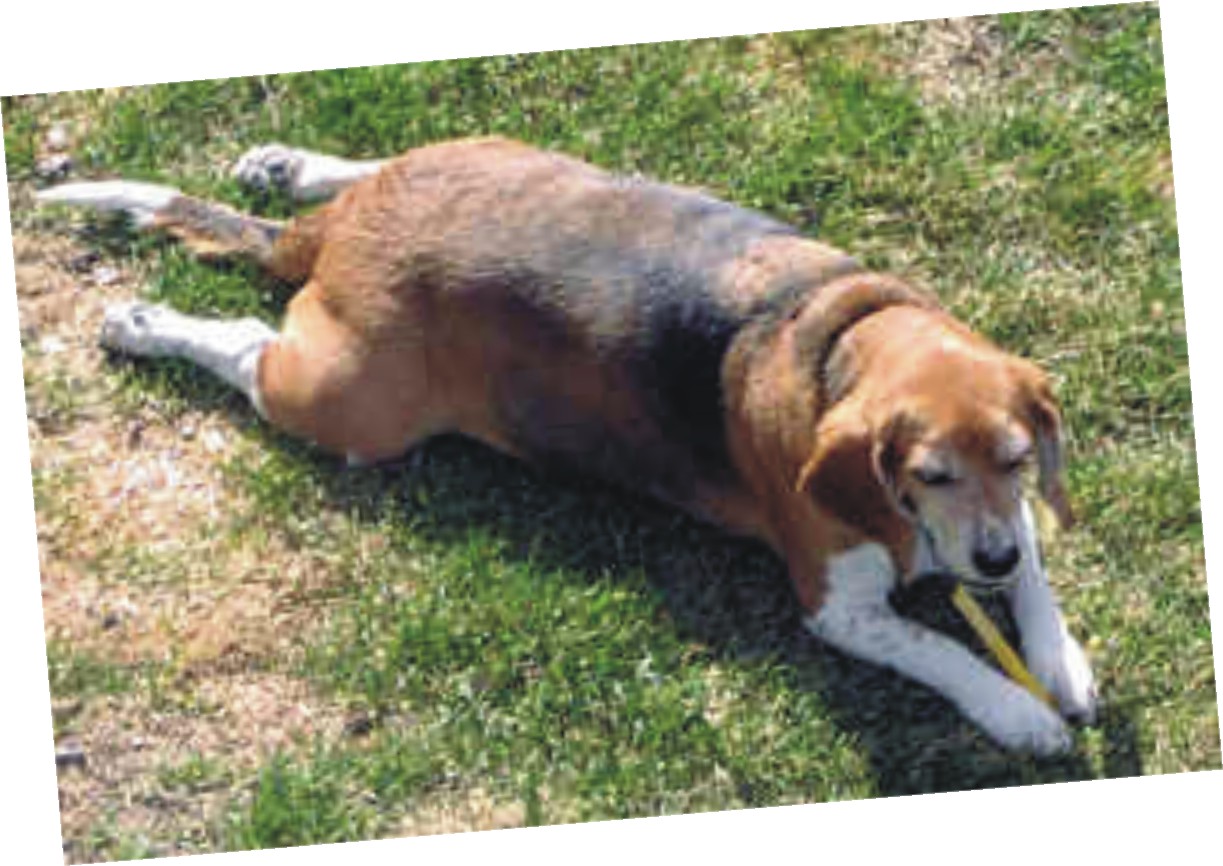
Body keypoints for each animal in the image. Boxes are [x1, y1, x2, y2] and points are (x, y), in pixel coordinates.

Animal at [38, 135, 1100, 748]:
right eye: (927, 472)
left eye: (1016, 460)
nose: (986, 563)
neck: (838, 333)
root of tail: (335, 239)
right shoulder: (838, 610)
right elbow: (940, 651)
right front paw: (1017, 712)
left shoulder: (1009, 525)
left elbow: (1038, 579)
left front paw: (1060, 664)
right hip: (347, 400)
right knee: (245, 348)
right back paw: (144, 322)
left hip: (498, 160)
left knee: (372, 165)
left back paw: (284, 166)